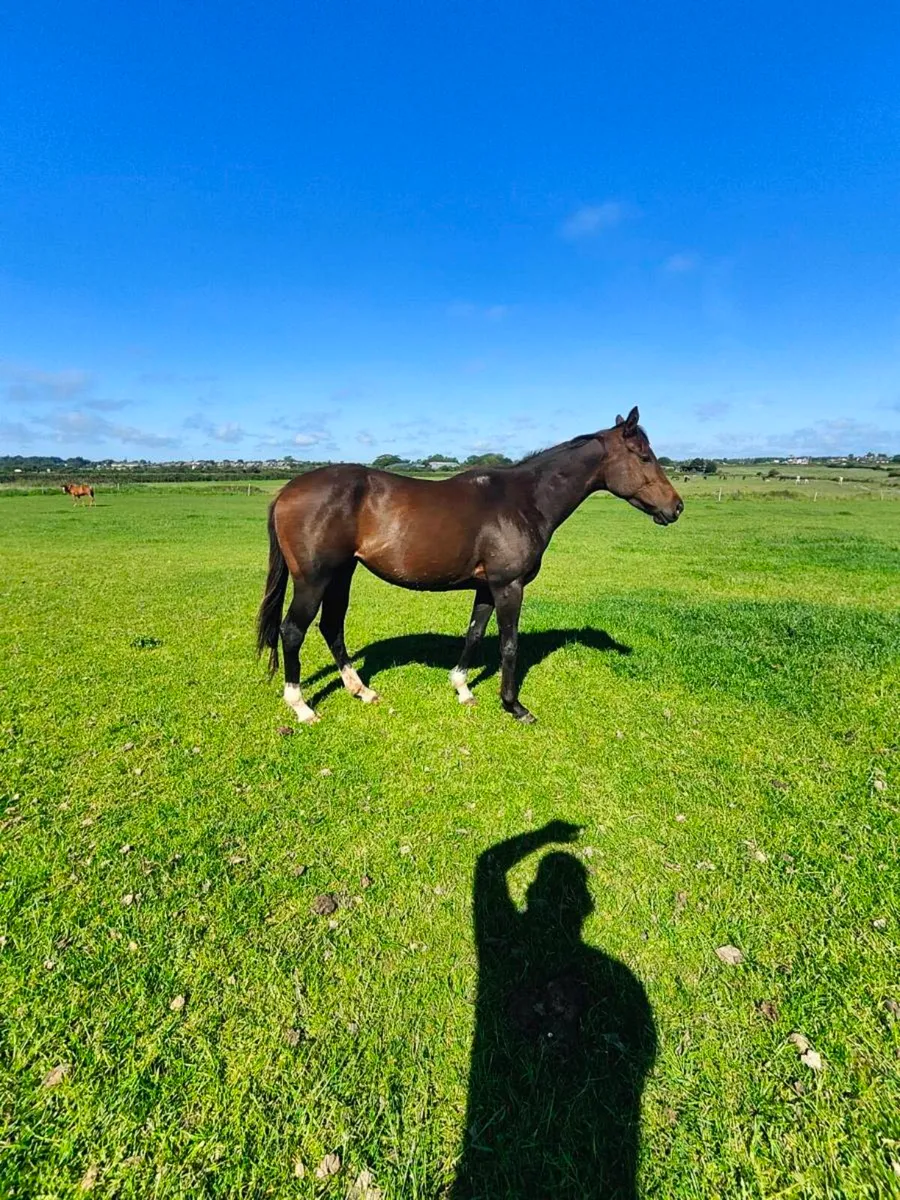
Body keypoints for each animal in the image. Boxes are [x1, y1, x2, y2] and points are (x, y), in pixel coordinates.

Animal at [257, 406, 683, 725]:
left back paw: (361, 690)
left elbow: (474, 635)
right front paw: (514, 706)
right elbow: (509, 644)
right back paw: (301, 707)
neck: (524, 500)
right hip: (313, 580)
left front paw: (462, 688)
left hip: (341, 575)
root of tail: (287, 492)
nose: (676, 507)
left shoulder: (486, 586)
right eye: (644, 456)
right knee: (293, 631)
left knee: (331, 626)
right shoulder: (509, 586)